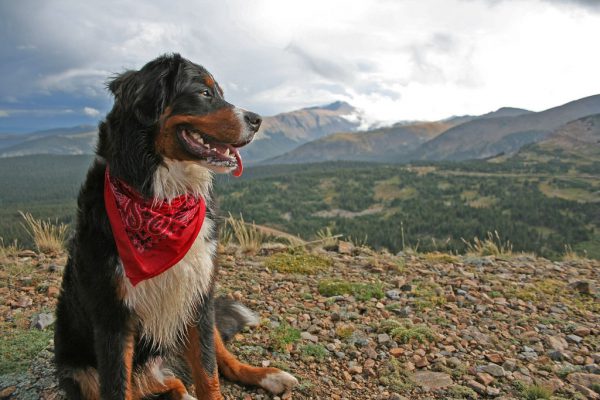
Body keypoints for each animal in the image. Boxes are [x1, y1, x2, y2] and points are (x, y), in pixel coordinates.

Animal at [54, 54, 298, 400]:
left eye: (220, 93)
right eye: (204, 93)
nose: (257, 119)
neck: (163, 200)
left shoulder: (199, 297)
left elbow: (208, 373)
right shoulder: (113, 318)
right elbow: (117, 386)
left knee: (219, 362)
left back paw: (269, 376)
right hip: (80, 371)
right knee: (160, 385)